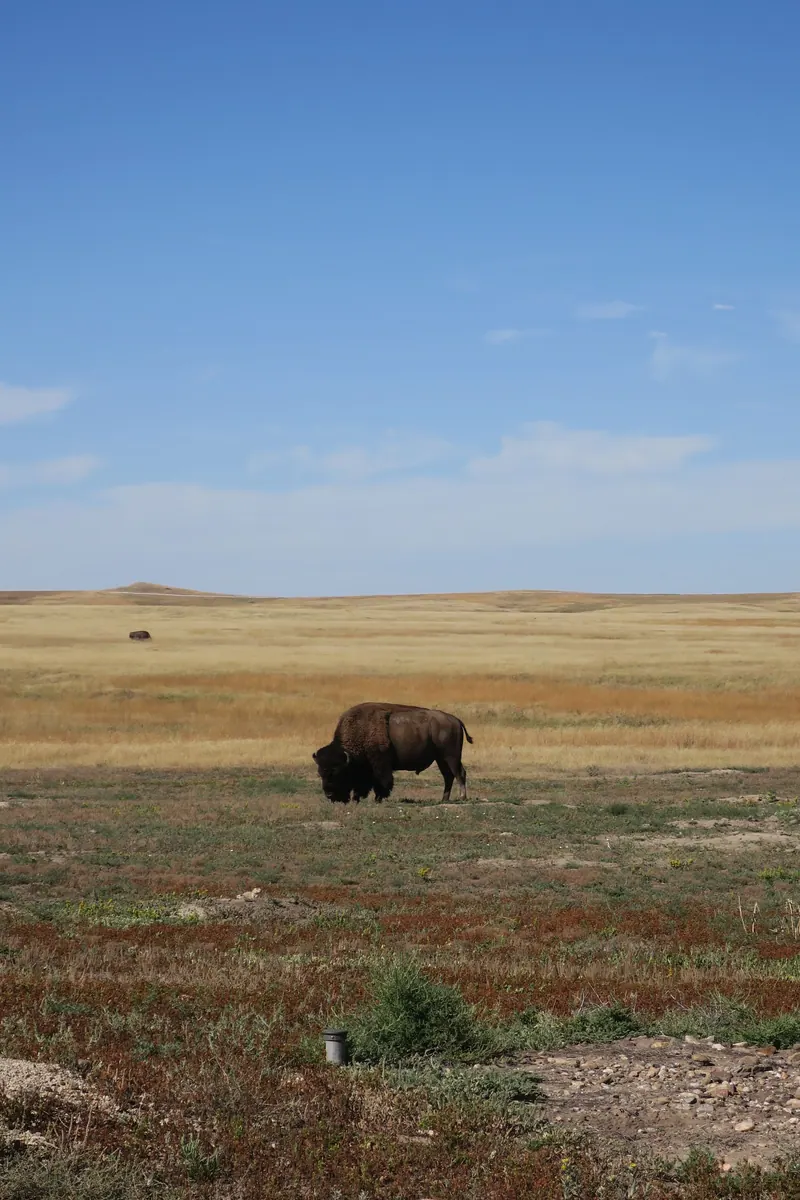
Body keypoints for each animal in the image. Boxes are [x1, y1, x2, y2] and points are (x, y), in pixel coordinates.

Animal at [313, 701, 473, 804]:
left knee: (459, 773)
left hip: (451, 756)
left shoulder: (381, 764)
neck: (361, 730)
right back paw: (444, 799)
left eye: (337, 772)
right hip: (441, 759)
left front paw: (378, 799)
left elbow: (382, 782)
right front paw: (357, 798)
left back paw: (462, 797)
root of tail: (455, 719)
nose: (329, 794)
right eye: (320, 773)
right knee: (448, 776)